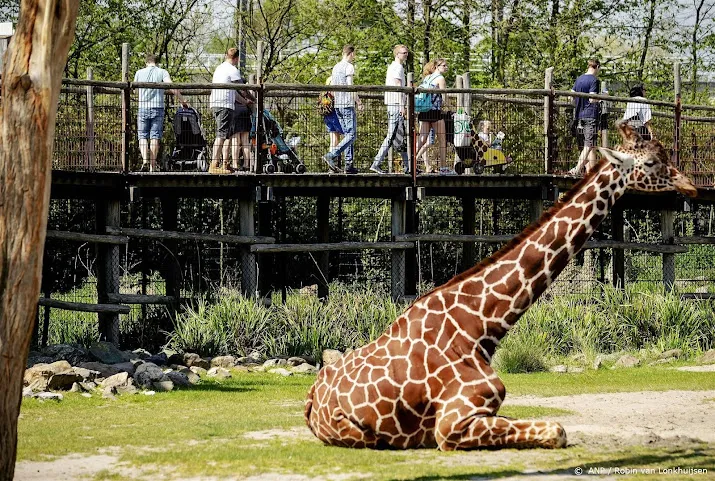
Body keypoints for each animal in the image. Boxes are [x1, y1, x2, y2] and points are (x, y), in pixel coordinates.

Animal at [304, 123, 696, 450]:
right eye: (651, 162)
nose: (690, 184)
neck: (480, 328)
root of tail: (310, 401)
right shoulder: (452, 425)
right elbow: (558, 430)